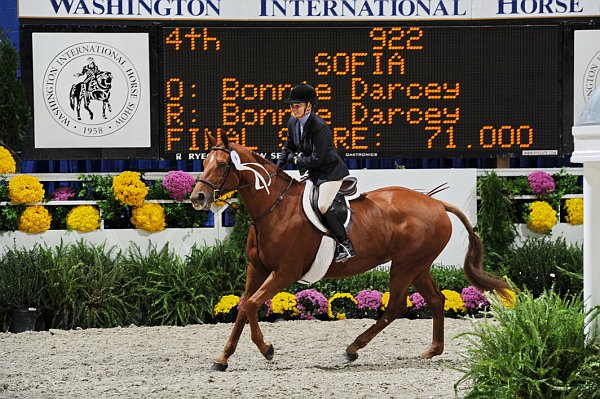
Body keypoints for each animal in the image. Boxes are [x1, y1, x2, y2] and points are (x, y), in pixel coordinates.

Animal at [190, 134, 508, 372]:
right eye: (203, 162)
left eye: (221, 165)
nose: (197, 197)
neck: (274, 208)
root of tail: (437, 204)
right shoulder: (257, 268)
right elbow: (245, 306)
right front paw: (223, 358)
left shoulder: (285, 272)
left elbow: (252, 305)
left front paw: (266, 349)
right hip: (418, 266)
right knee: (436, 300)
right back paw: (432, 350)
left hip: (405, 265)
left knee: (396, 307)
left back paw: (352, 349)